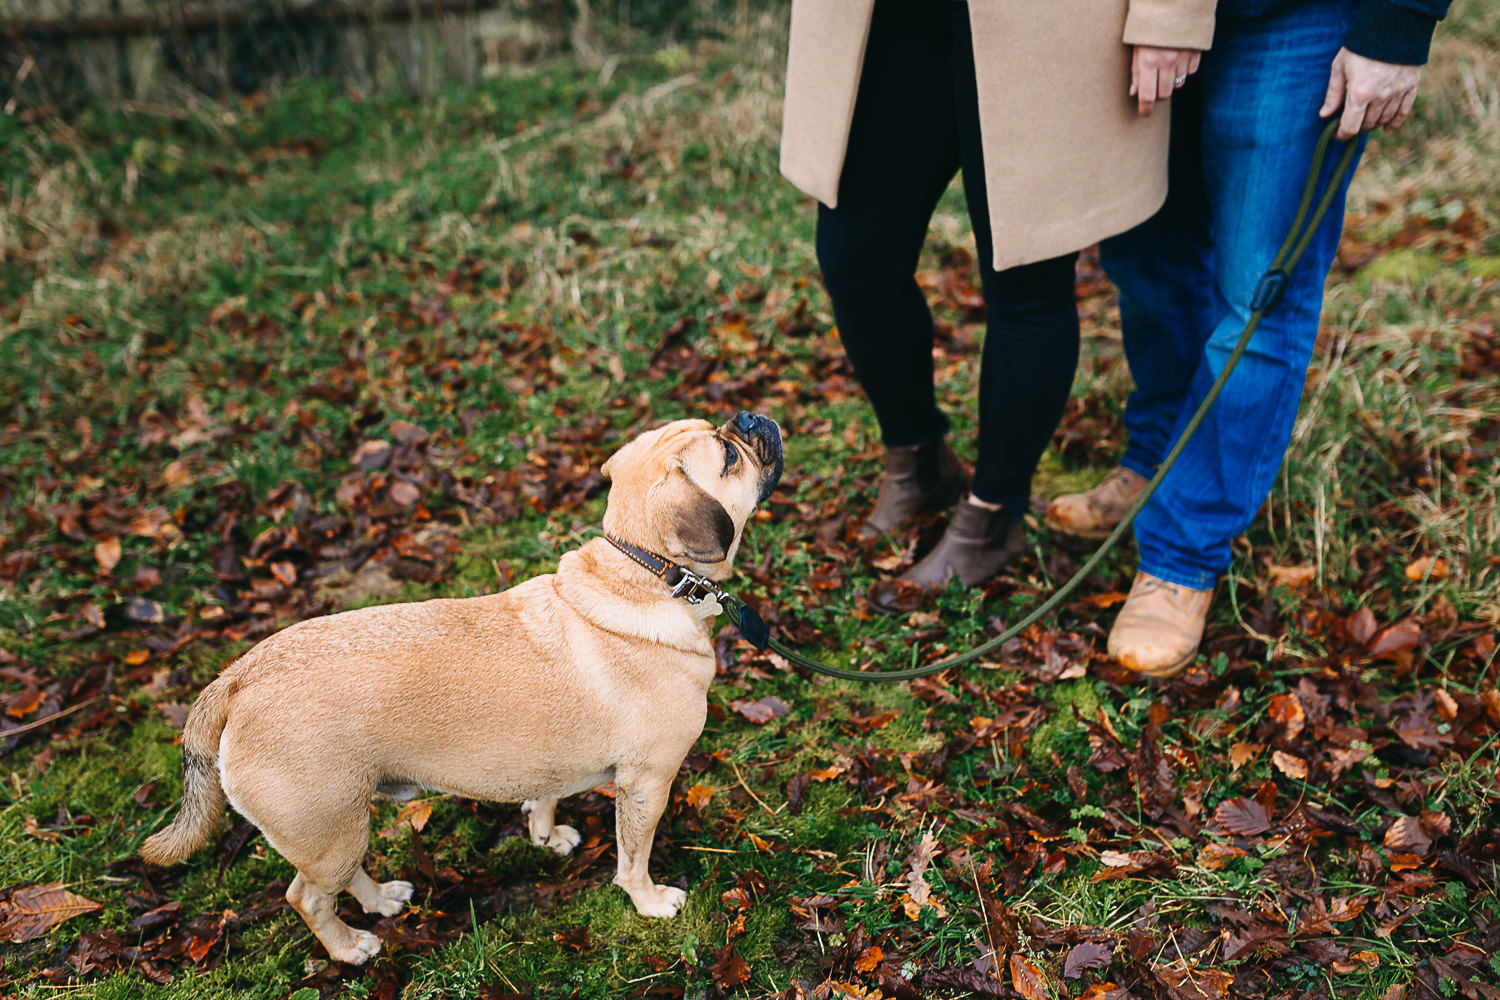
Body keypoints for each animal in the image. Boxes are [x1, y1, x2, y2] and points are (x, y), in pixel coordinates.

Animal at [143, 413, 786, 959]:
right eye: (730, 455)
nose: (752, 418)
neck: (642, 572)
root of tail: (236, 679)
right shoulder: (647, 785)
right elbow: (633, 857)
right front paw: (649, 902)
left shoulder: (551, 761)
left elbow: (545, 798)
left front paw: (544, 836)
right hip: (328, 834)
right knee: (307, 897)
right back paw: (350, 948)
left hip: (344, 826)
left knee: (346, 878)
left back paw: (383, 902)